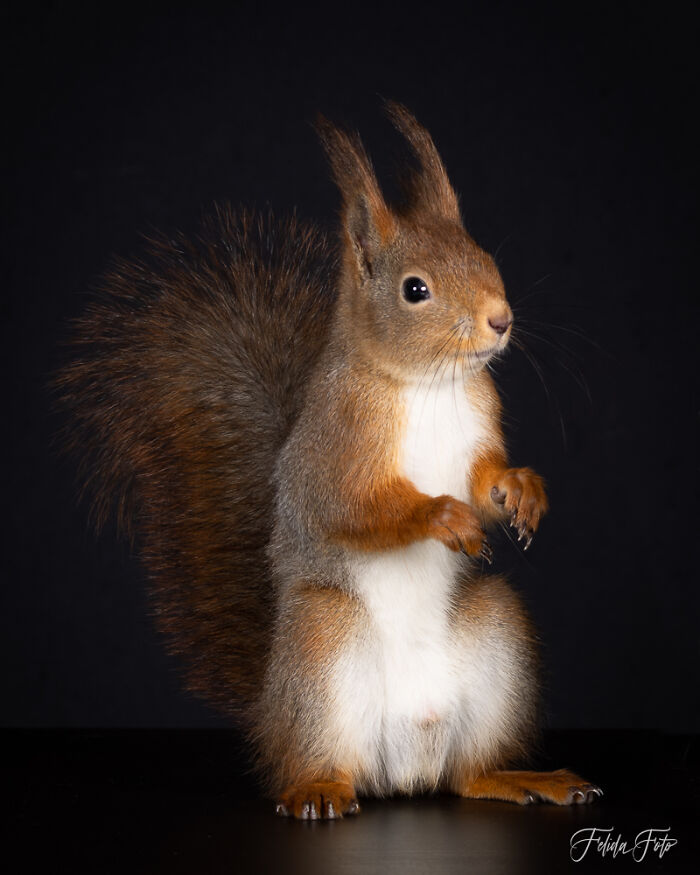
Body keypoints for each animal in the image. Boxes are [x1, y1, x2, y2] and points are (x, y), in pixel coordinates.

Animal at [56, 102, 602, 819]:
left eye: (485, 257)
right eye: (415, 289)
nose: (500, 320)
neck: (429, 385)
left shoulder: (478, 431)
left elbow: (484, 479)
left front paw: (521, 491)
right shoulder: (335, 446)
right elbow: (355, 508)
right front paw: (444, 517)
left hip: (495, 636)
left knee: (468, 775)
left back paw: (519, 778)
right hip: (322, 638)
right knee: (323, 761)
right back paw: (317, 789)